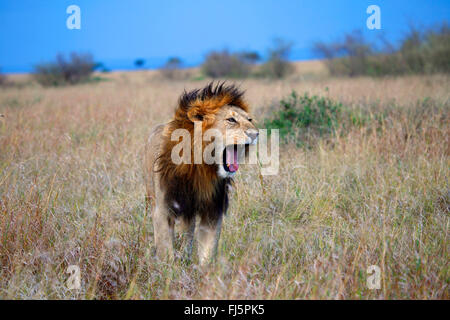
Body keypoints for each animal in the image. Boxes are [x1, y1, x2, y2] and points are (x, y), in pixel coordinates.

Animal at [142, 82, 258, 264]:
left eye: (249, 120)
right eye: (231, 120)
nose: (255, 134)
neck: (201, 167)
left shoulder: (212, 210)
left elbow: (208, 252)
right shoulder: (164, 208)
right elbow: (165, 250)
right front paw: (167, 270)